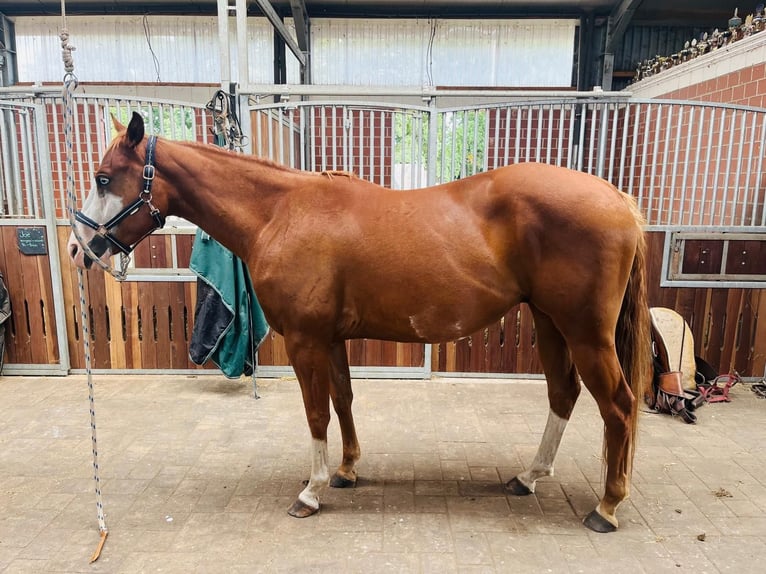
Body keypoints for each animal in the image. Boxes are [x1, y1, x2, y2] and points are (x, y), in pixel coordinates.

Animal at [68, 112, 651, 533]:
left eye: (104, 178)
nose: (78, 249)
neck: (279, 212)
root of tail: (618, 198)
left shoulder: (305, 342)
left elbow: (315, 414)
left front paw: (311, 491)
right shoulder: (331, 340)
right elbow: (343, 401)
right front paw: (346, 471)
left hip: (586, 333)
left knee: (619, 406)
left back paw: (607, 506)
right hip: (551, 323)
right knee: (563, 394)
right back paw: (528, 478)